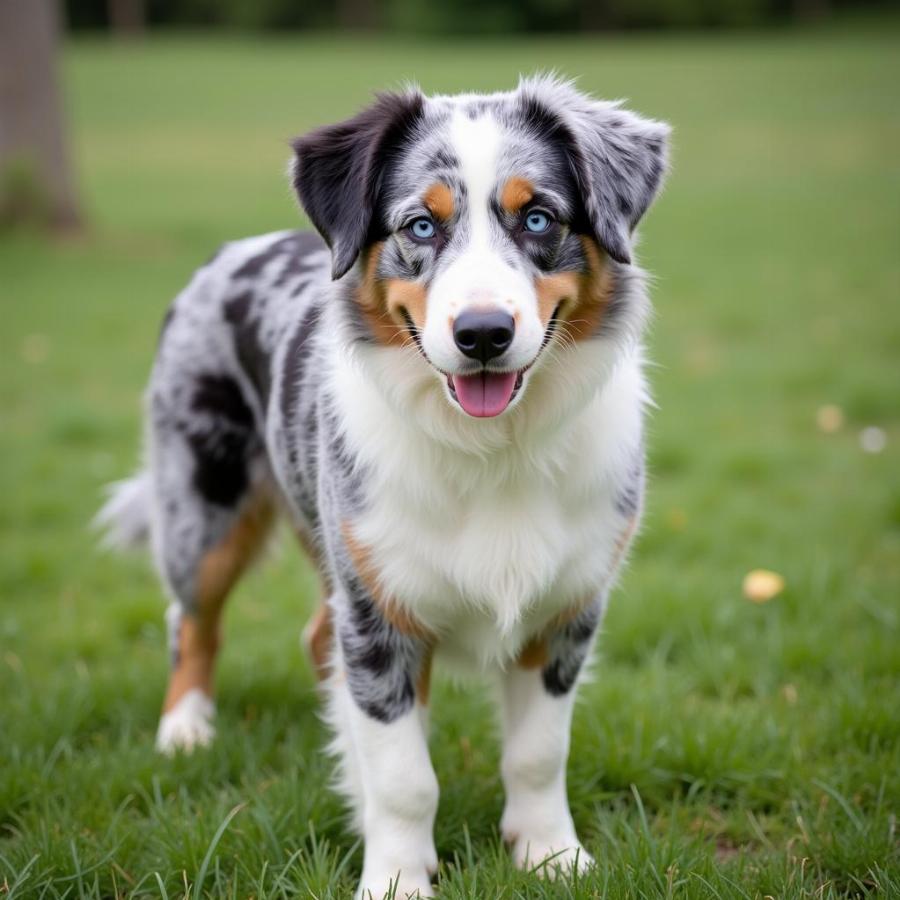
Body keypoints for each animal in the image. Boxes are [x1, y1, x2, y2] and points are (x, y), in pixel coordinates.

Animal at [98, 79, 672, 900]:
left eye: (538, 218)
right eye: (420, 226)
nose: (483, 333)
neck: (493, 451)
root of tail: (228, 250)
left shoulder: (566, 609)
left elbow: (538, 753)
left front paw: (550, 855)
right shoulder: (378, 613)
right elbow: (405, 776)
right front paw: (397, 876)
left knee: (311, 635)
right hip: (204, 505)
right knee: (192, 620)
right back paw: (185, 731)